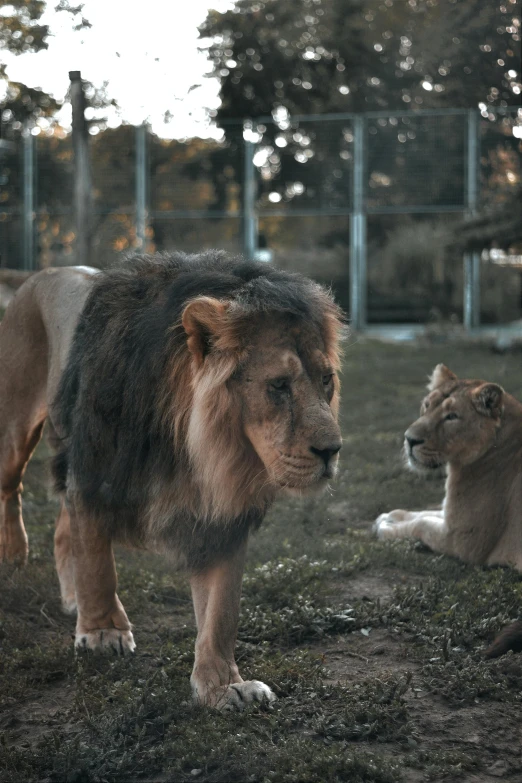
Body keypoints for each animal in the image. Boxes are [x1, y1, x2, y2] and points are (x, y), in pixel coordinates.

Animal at [0, 253, 342, 712]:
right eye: (279, 385)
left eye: (326, 380)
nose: (332, 450)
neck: (194, 445)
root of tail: (39, 274)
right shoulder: (94, 470)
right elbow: (97, 563)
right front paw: (104, 633)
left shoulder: (223, 513)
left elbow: (221, 612)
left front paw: (224, 686)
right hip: (16, 428)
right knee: (13, 489)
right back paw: (14, 555)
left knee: (62, 528)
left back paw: (72, 600)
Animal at [372, 364, 520, 572]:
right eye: (427, 405)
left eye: (452, 416)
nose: (409, 439)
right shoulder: (452, 518)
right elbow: (427, 513)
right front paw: (390, 516)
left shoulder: (464, 540)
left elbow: (421, 524)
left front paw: (386, 527)